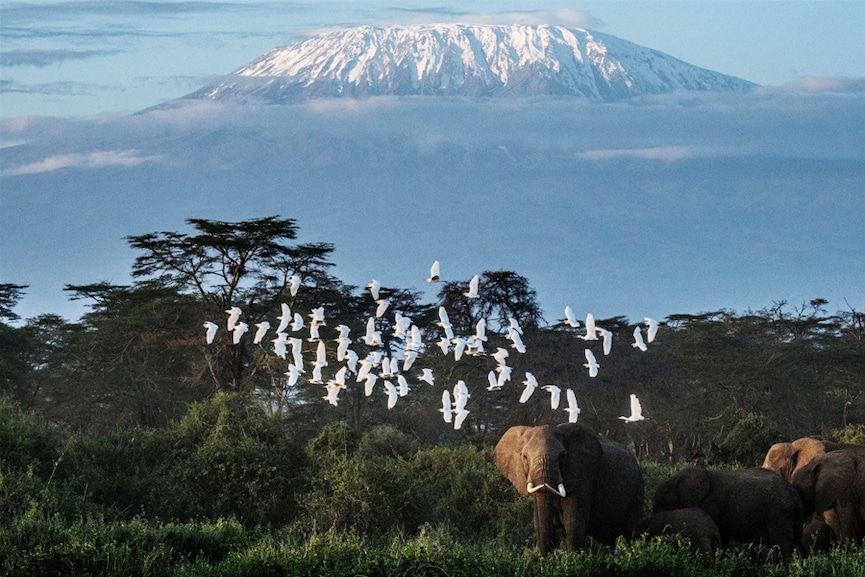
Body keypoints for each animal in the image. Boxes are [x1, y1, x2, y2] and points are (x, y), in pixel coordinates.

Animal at [492, 424, 640, 552]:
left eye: (562, 455)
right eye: (524, 456)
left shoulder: (582, 477)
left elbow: (573, 524)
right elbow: (541, 525)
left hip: (637, 492)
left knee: (633, 533)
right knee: (607, 541)